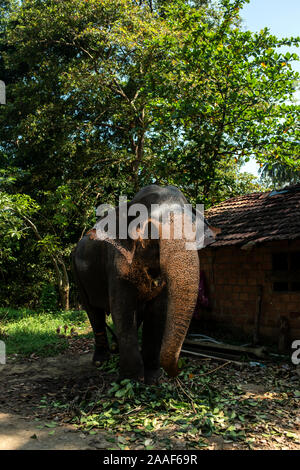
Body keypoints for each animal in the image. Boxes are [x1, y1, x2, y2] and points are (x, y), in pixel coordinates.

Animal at [72, 183, 216, 382]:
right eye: (151, 230)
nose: (180, 369)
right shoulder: (116, 262)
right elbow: (122, 309)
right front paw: (131, 380)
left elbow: (158, 311)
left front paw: (152, 378)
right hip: (77, 274)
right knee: (94, 313)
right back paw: (101, 361)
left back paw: (116, 351)